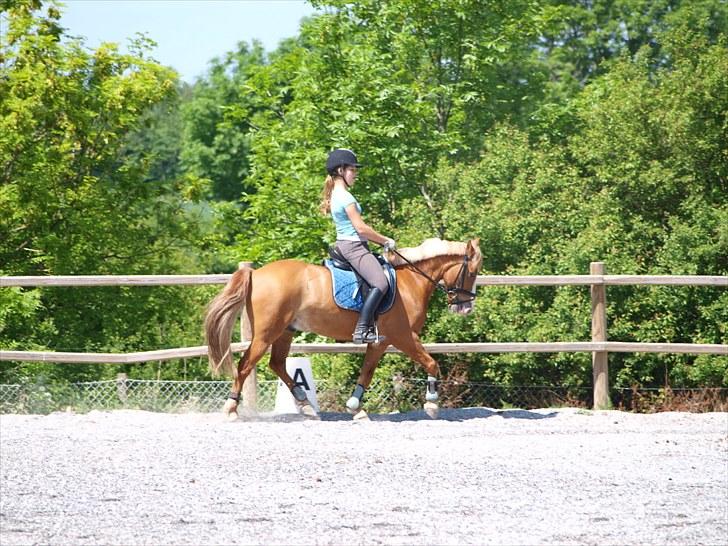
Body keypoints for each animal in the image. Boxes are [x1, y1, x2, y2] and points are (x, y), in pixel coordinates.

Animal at [203, 236, 484, 418]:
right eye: (471, 272)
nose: (466, 308)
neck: (410, 281)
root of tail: (256, 273)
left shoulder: (381, 341)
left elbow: (366, 372)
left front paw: (355, 407)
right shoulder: (404, 336)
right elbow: (431, 363)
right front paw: (432, 404)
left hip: (285, 331)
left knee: (277, 364)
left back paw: (305, 404)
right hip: (266, 333)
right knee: (245, 364)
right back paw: (231, 409)